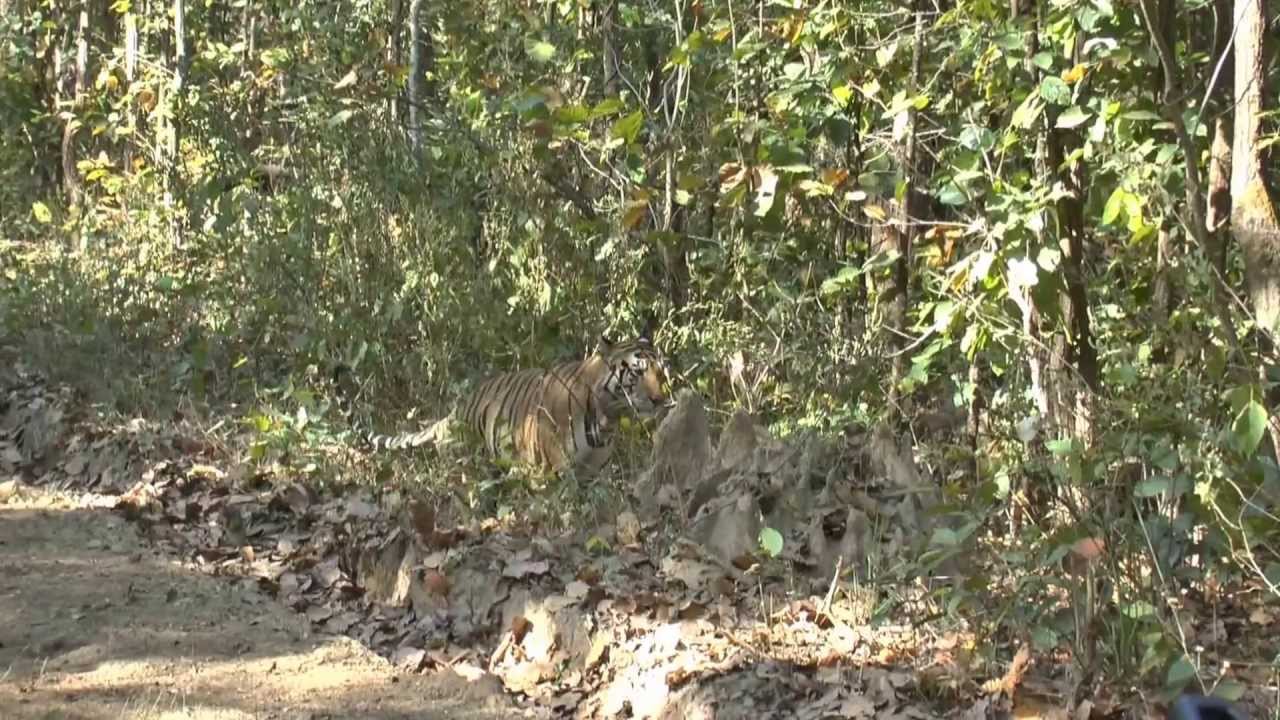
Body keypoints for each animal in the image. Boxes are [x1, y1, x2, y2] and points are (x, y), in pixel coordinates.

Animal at [358, 332, 673, 476]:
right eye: (637, 372)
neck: (606, 419)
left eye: (661, 372)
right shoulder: (555, 472)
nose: (660, 400)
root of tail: (456, 410)